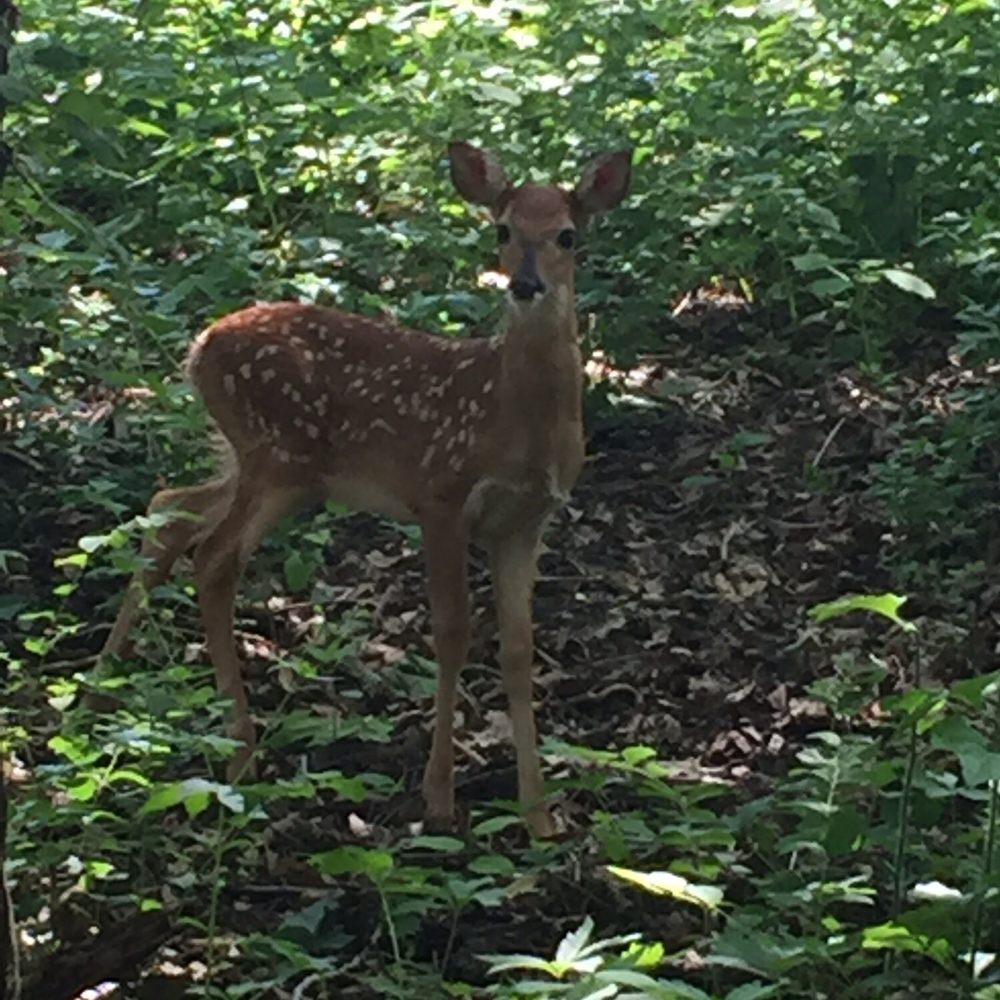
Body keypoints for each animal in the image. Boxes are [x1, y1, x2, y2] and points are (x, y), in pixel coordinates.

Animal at [92, 141, 632, 838]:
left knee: (173, 506)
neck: (509, 414)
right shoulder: (441, 494)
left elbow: (518, 649)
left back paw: (102, 683)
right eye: (502, 230)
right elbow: (453, 632)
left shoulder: (526, 520)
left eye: (568, 235)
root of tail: (199, 346)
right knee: (213, 555)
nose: (526, 284)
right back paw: (240, 751)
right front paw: (438, 798)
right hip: (279, 455)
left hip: (268, 463)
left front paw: (539, 816)